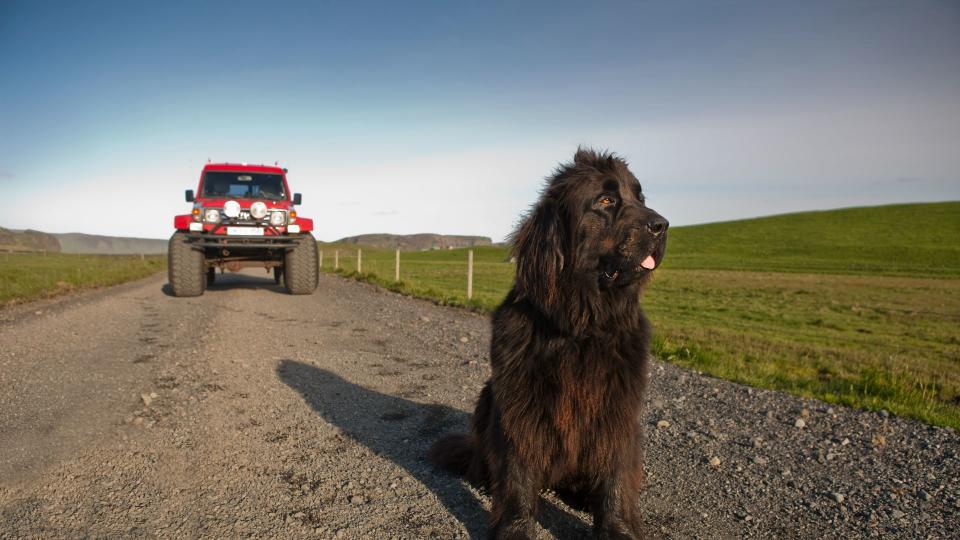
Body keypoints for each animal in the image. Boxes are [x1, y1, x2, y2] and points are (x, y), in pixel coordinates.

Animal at [430, 149, 668, 540]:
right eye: (606, 201)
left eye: (640, 198)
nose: (663, 225)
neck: (581, 324)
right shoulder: (520, 401)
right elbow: (518, 471)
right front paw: (515, 528)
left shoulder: (617, 405)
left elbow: (616, 473)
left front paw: (617, 528)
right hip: (487, 396)